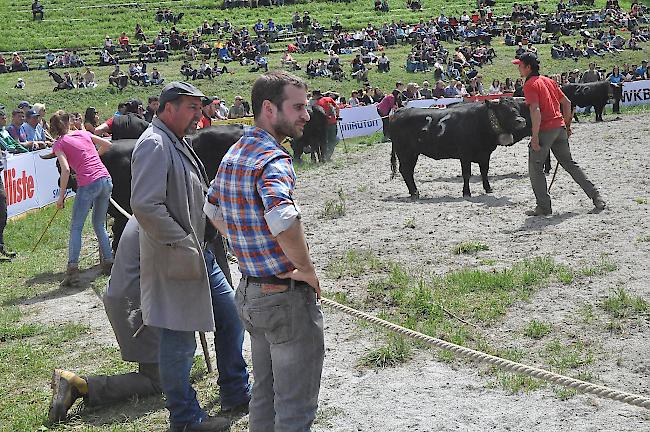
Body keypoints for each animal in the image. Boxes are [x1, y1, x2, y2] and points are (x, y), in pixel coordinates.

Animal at [388, 98, 524, 197]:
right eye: (504, 109)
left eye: (517, 108)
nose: (521, 120)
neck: (479, 122)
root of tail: (399, 112)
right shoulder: (465, 154)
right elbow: (467, 174)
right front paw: (466, 193)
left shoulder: (485, 154)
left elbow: (484, 172)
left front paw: (488, 189)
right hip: (405, 152)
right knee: (405, 170)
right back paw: (415, 192)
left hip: (412, 153)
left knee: (408, 171)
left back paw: (414, 192)